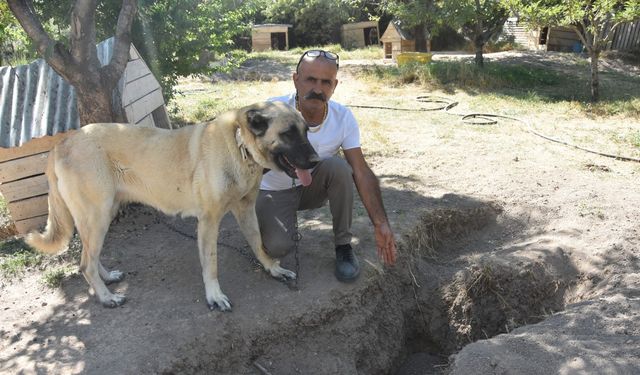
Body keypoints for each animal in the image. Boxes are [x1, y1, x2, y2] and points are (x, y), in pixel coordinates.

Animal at [26, 101, 320, 310]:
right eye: (288, 134)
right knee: (85, 263)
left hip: (103, 215)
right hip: (97, 216)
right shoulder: (208, 222)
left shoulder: (245, 210)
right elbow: (211, 264)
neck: (240, 145)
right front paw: (214, 296)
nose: (316, 161)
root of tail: (61, 143)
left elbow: (259, 244)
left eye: (306, 131)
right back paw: (107, 297)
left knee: (89, 257)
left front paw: (273, 269)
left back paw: (107, 279)